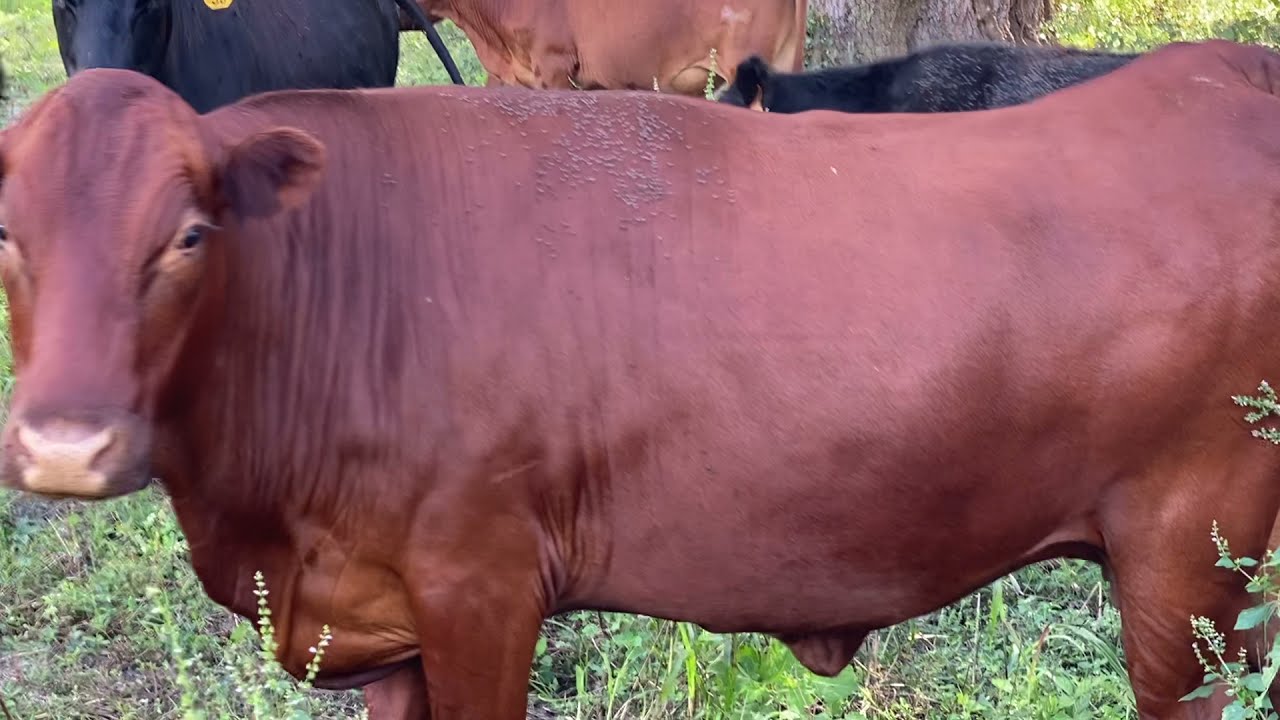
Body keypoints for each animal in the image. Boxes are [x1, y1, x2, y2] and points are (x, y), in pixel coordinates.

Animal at [1, 38, 1279, 720]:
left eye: (188, 236)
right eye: (7, 231)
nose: (65, 445)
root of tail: (1216, 70)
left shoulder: (481, 588)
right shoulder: (385, 623)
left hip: (1186, 566)